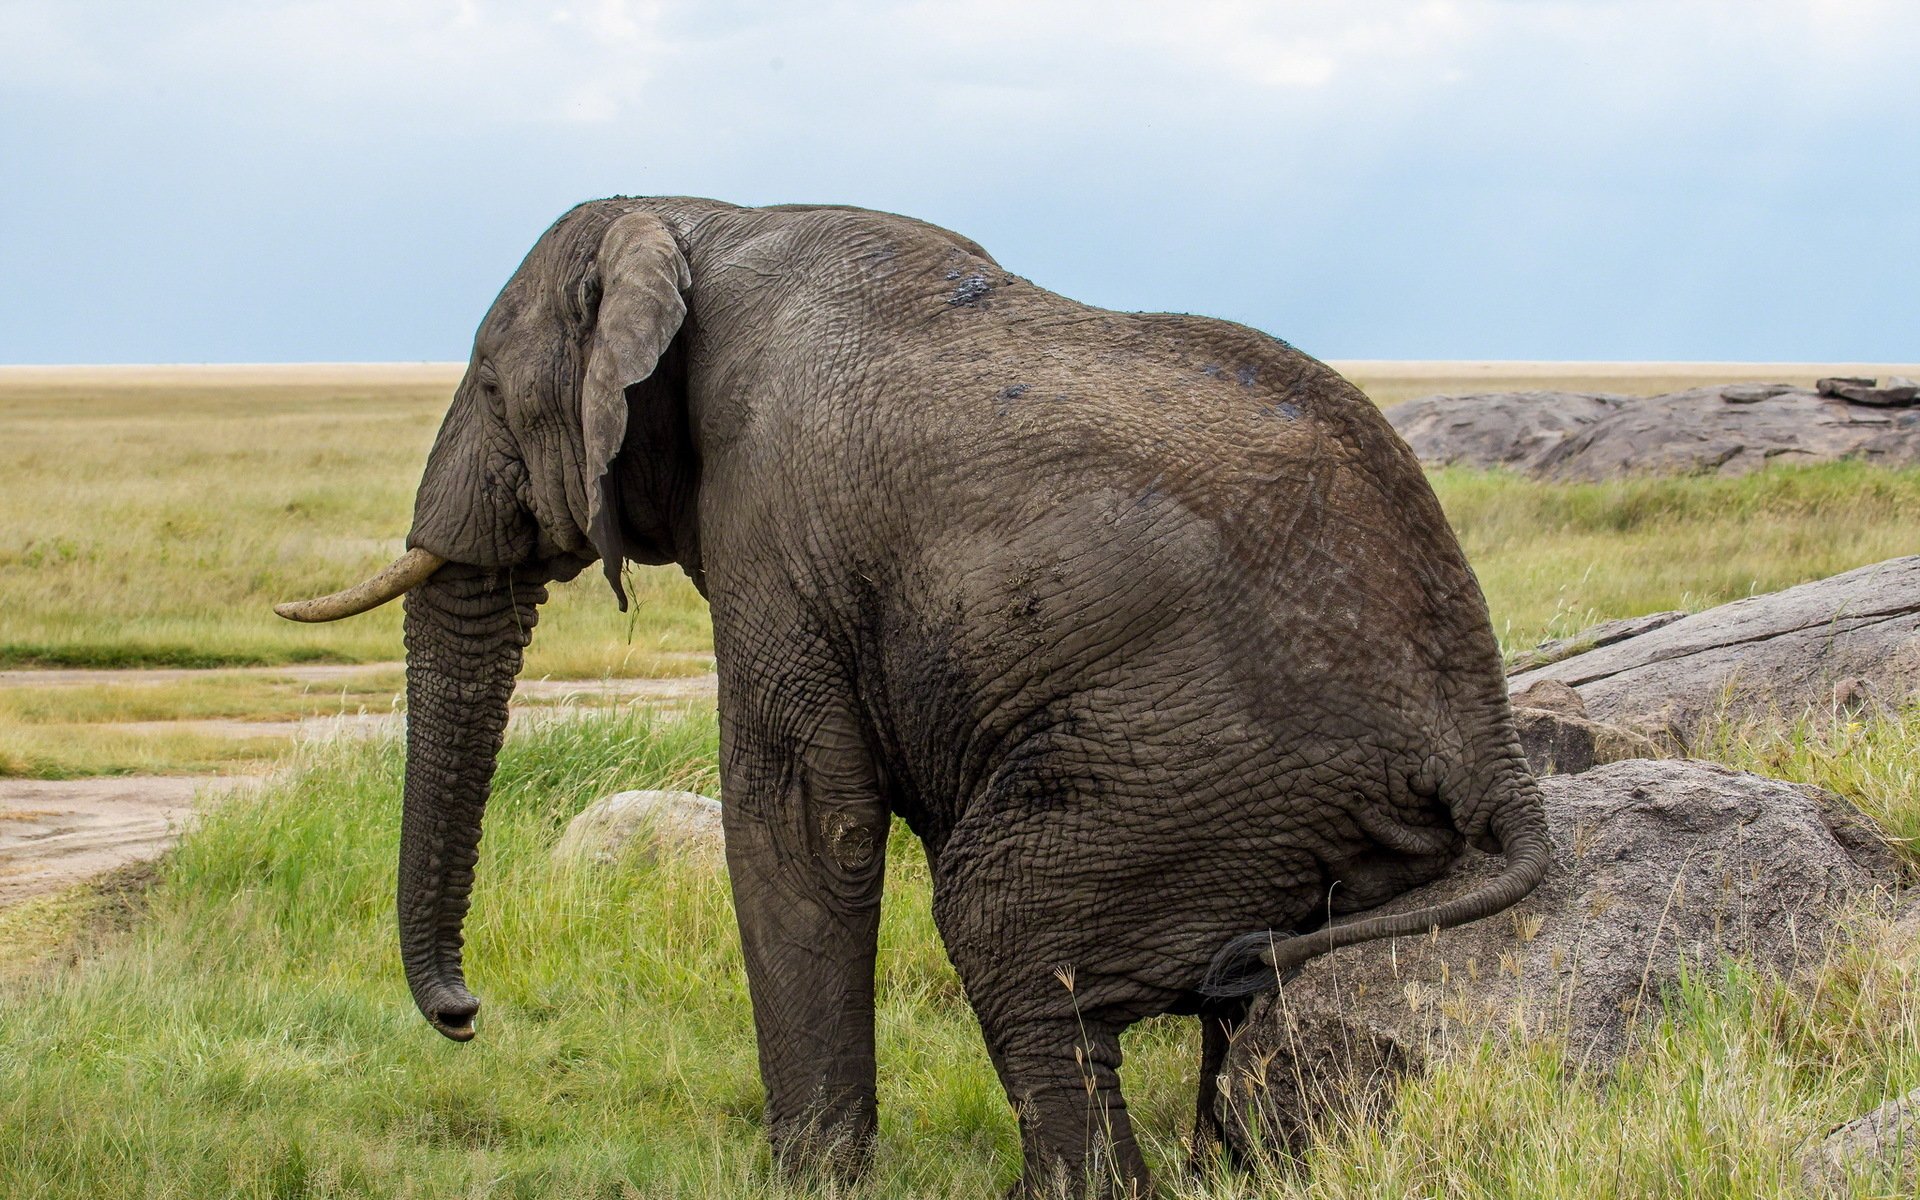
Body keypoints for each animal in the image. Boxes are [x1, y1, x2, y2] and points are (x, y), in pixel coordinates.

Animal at [276, 196, 1549, 1197]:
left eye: (492, 387)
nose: (465, 1015)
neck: (698, 218)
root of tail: (1494, 748)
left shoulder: (774, 515)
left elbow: (802, 815)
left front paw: (811, 1181)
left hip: (1204, 767)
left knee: (1003, 916)